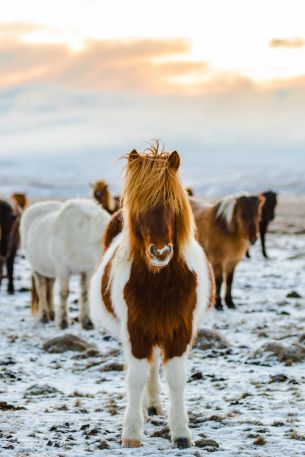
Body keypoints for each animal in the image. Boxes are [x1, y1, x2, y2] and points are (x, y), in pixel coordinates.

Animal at [20, 199, 110, 328]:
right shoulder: (63, 269)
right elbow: (64, 293)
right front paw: (63, 322)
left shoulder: (88, 269)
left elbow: (85, 293)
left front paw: (87, 322)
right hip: (37, 268)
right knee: (41, 288)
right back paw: (44, 317)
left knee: (50, 287)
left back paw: (52, 314)